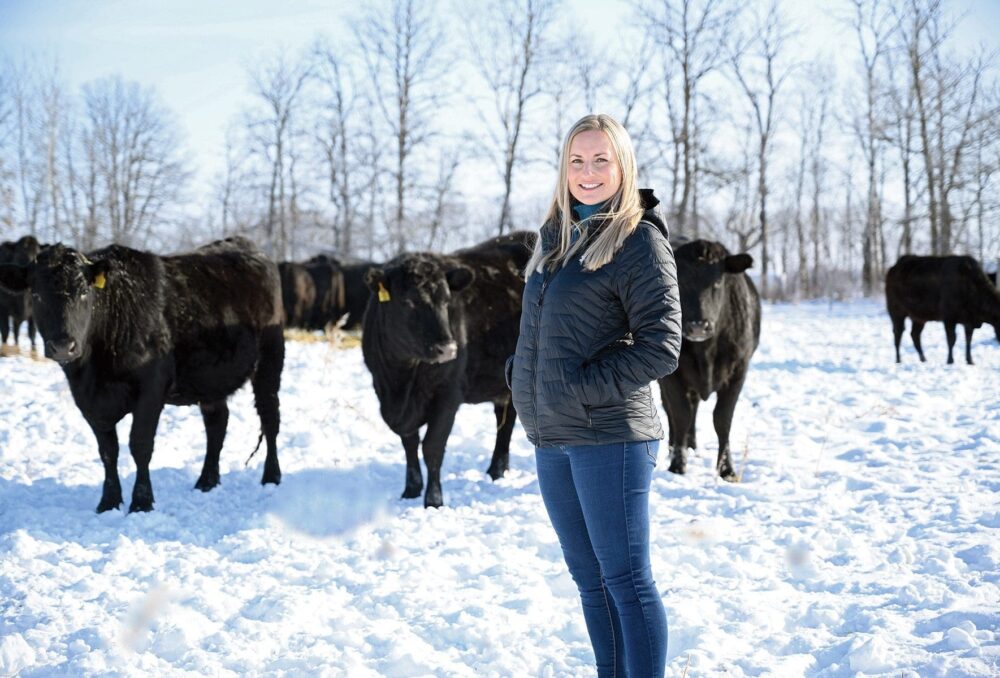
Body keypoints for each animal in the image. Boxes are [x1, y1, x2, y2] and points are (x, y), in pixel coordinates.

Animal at [0, 236, 286, 512]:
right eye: (36, 294)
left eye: (83, 293)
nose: (63, 346)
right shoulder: (87, 399)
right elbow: (108, 451)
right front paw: (109, 501)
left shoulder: (151, 389)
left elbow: (140, 444)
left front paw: (141, 502)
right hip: (210, 379)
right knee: (217, 423)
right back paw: (206, 481)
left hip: (270, 359)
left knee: (269, 417)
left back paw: (271, 477)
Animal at [362, 231, 536, 508]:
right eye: (408, 302)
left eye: (446, 301)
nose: (448, 348)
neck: (401, 379)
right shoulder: (384, 392)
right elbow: (409, 443)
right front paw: (411, 489)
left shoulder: (448, 394)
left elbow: (432, 446)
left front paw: (433, 500)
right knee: (505, 421)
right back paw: (497, 470)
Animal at [660, 242, 760, 480]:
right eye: (680, 281)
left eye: (717, 282)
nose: (698, 326)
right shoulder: (670, 376)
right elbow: (680, 415)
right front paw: (677, 464)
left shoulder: (739, 371)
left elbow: (722, 419)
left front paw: (727, 469)